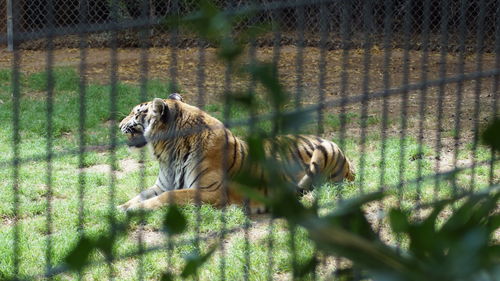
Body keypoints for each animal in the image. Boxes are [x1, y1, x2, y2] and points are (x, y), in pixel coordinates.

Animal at [117, 92, 356, 212]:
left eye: (135, 113)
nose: (119, 124)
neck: (168, 156)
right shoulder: (162, 185)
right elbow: (140, 194)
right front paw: (120, 207)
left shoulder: (210, 191)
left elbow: (169, 197)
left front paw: (135, 210)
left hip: (323, 152)